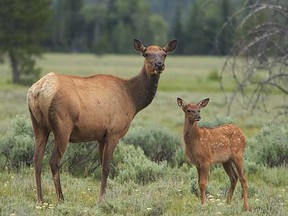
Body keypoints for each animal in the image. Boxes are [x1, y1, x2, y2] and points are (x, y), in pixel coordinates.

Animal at [27, 39, 176, 204]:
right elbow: (106, 167)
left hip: (38, 126)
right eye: (146, 54)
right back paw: (61, 198)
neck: (133, 100)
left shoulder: (101, 137)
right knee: (53, 161)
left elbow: (101, 164)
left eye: (164, 54)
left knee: (36, 160)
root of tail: (38, 90)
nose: (159, 65)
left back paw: (40, 199)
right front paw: (101, 199)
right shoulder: (114, 132)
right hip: (62, 127)